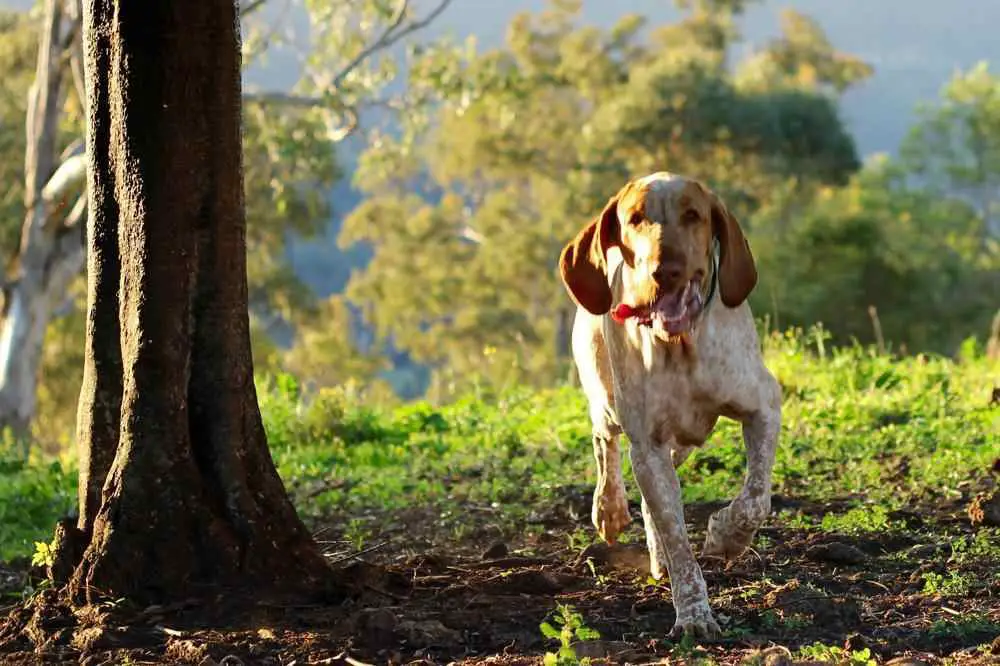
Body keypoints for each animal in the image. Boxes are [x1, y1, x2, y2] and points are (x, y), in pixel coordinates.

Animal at [560, 171, 776, 640]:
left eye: (693, 215)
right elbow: (678, 539)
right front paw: (694, 614)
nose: (665, 270)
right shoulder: (648, 445)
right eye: (635, 218)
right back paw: (609, 509)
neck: (680, 343)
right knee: (605, 444)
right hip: (607, 400)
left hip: (686, 440)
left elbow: (754, 499)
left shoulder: (764, 405)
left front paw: (725, 537)